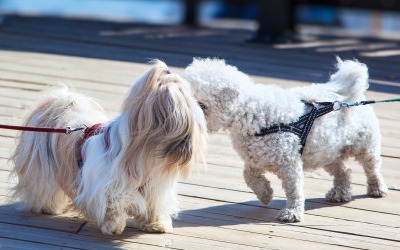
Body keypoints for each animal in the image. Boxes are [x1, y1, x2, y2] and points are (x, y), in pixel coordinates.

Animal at [11, 59, 208, 235]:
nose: (203, 104)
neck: (144, 153)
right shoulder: (105, 186)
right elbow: (115, 203)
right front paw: (114, 226)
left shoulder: (154, 186)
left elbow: (153, 204)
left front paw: (156, 224)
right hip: (42, 169)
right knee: (43, 187)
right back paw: (48, 207)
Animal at [183, 58, 390, 223]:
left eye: (202, 105)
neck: (251, 113)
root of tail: (347, 98)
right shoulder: (255, 158)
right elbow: (249, 176)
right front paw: (265, 194)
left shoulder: (289, 163)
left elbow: (294, 189)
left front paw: (292, 213)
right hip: (325, 153)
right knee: (344, 171)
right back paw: (340, 193)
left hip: (364, 146)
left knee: (372, 168)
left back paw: (377, 189)